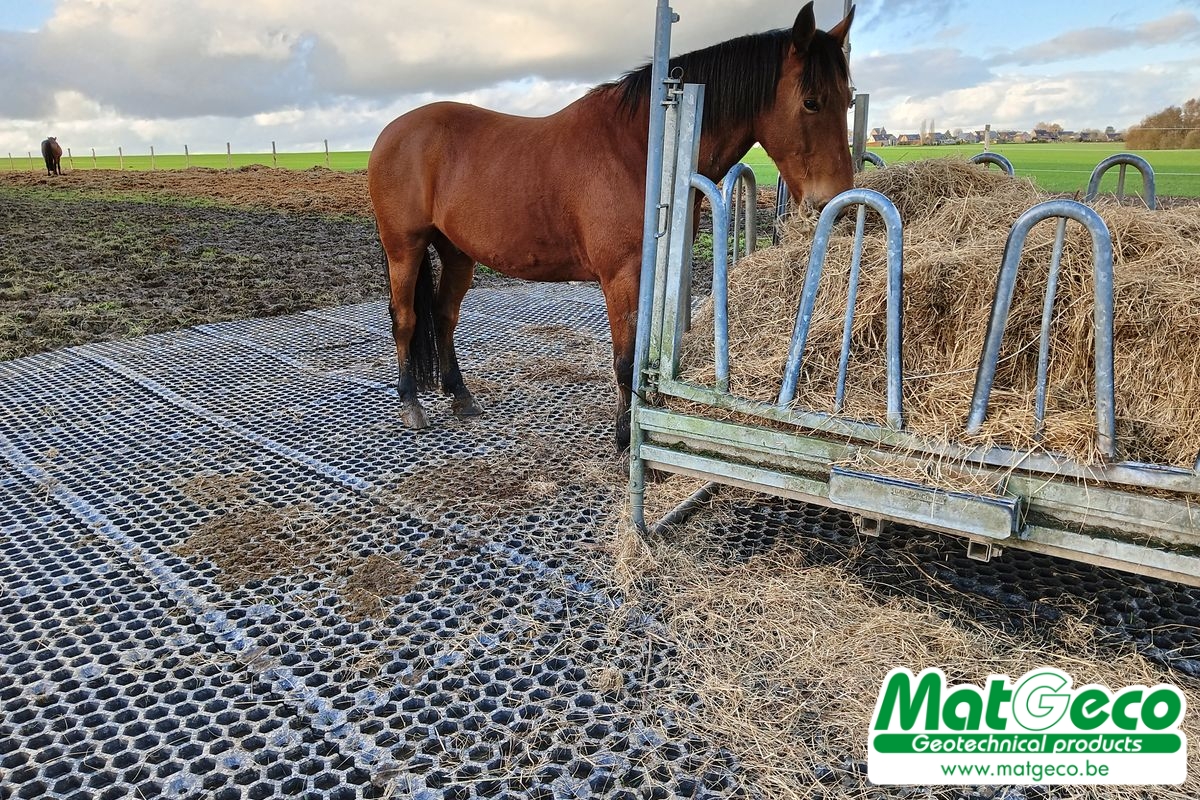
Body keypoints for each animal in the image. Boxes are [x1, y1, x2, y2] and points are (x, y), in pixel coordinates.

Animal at [368, 1, 855, 451]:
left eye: (849, 98)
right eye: (812, 102)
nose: (836, 200)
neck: (641, 148)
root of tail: (392, 132)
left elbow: (638, 355)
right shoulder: (621, 276)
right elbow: (625, 359)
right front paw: (625, 438)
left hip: (457, 252)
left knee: (445, 316)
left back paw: (461, 395)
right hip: (404, 248)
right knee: (406, 318)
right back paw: (410, 403)